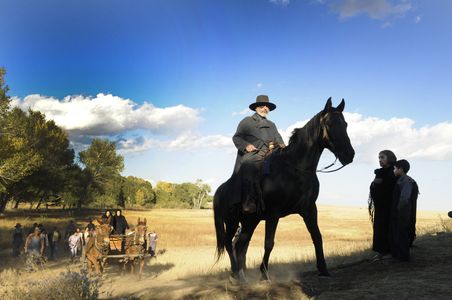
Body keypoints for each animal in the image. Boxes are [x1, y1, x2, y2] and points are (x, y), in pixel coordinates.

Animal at [214, 97, 354, 282]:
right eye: (330, 124)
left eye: (345, 124)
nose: (349, 155)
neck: (296, 169)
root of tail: (220, 190)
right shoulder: (273, 212)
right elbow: (269, 243)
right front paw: (264, 274)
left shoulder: (309, 209)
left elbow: (317, 237)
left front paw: (323, 269)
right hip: (231, 222)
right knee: (230, 244)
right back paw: (236, 273)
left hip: (250, 222)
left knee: (240, 245)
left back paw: (242, 275)